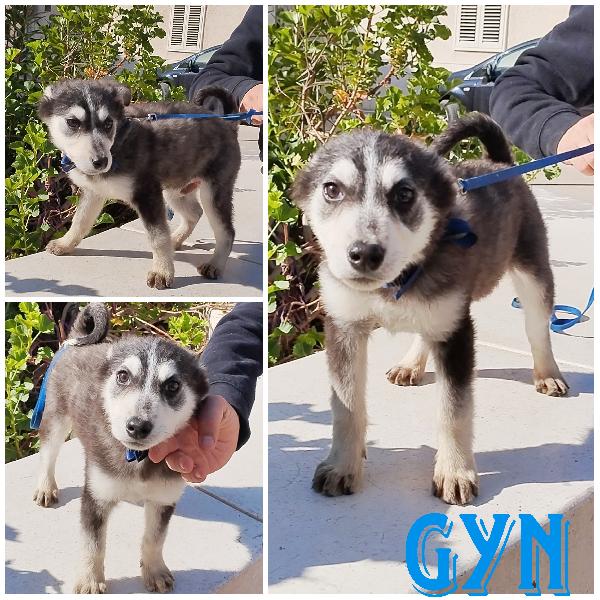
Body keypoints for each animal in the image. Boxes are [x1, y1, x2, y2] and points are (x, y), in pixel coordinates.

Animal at [34, 304, 211, 592]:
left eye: (173, 385)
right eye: (123, 376)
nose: (137, 426)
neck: (138, 458)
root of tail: (77, 340)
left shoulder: (164, 498)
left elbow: (155, 539)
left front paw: (155, 571)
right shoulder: (95, 497)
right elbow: (93, 545)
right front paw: (90, 580)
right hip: (56, 417)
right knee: (48, 454)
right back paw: (45, 487)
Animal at [35, 78, 239, 290]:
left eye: (108, 123)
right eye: (73, 122)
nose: (101, 162)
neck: (117, 145)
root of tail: (227, 123)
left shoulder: (147, 194)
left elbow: (158, 237)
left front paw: (162, 272)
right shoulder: (93, 192)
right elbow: (80, 221)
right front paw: (65, 244)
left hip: (213, 192)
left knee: (226, 231)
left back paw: (215, 264)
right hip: (174, 190)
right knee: (194, 213)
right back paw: (175, 239)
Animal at [290, 113, 568, 506]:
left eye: (405, 194)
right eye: (332, 189)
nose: (364, 254)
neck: (396, 282)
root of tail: (498, 164)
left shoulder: (456, 333)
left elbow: (454, 411)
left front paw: (454, 472)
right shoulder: (344, 326)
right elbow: (346, 406)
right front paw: (342, 465)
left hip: (532, 273)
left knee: (537, 327)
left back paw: (547, 372)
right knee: (426, 331)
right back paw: (411, 364)